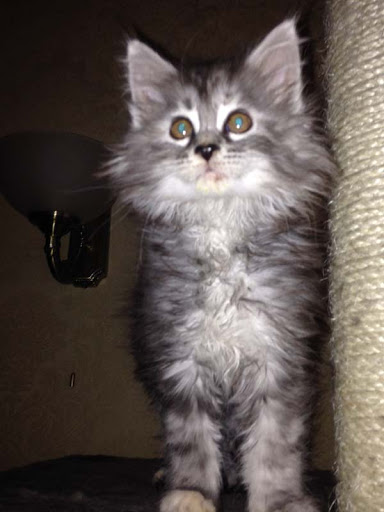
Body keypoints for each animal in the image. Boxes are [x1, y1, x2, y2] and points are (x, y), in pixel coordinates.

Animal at [110, 18, 332, 512]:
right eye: (180, 128)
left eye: (238, 122)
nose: (207, 149)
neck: (221, 232)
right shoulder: (178, 360)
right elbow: (189, 439)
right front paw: (191, 492)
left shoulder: (280, 357)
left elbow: (275, 443)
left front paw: (280, 499)